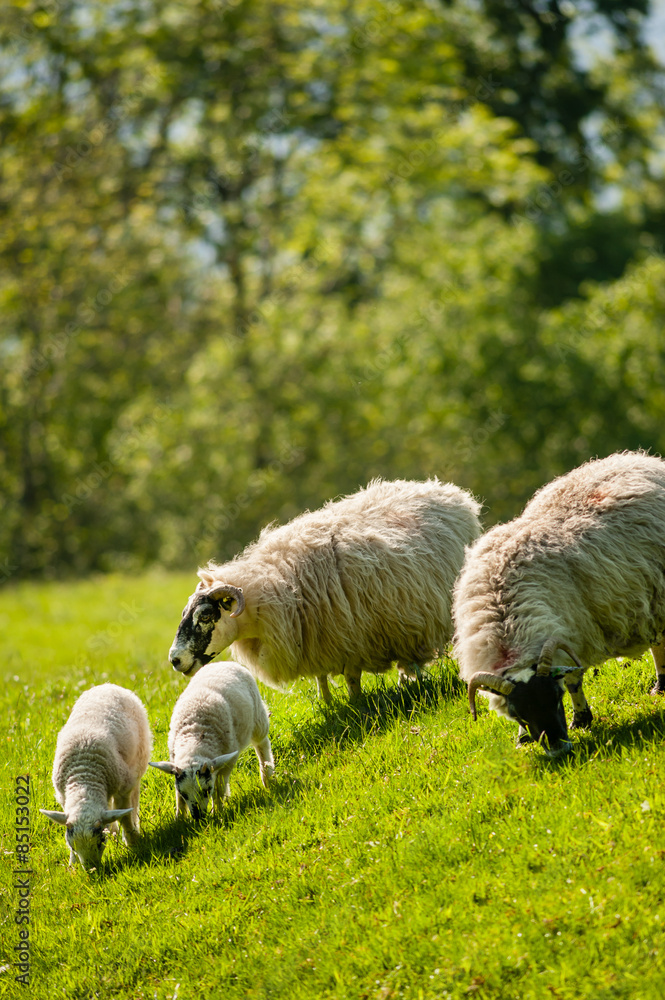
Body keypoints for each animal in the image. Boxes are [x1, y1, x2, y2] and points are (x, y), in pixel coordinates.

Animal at [40, 684, 152, 869]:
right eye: (72, 845)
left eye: (100, 842)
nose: (91, 870)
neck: (84, 779)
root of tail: (107, 685)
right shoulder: (64, 798)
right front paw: (73, 865)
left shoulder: (122, 789)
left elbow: (125, 816)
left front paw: (132, 841)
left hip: (136, 765)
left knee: (134, 799)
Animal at [150, 661, 274, 819]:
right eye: (184, 793)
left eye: (207, 790)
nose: (198, 817)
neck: (195, 737)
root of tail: (222, 662)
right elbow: (178, 798)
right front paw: (179, 818)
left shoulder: (227, 761)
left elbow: (219, 787)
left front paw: (218, 812)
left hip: (258, 716)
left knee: (262, 744)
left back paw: (267, 776)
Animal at [168, 477, 482, 700]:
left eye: (205, 616)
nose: (174, 660)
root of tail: (446, 489)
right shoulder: (315, 641)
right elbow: (320, 677)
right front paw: (327, 702)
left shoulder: (351, 637)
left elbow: (352, 678)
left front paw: (356, 704)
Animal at [453, 450, 665, 754]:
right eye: (519, 712)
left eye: (555, 696)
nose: (557, 748)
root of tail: (638, 459)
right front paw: (523, 737)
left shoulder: (576, 637)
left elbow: (574, 681)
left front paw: (582, 720)